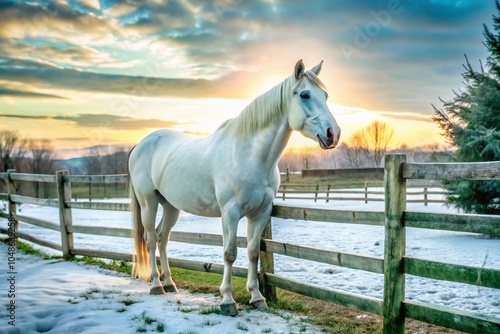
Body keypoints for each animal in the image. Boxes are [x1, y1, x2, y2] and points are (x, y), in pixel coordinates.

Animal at [127, 60, 342, 316]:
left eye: (326, 95)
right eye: (305, 94)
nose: (333, 134)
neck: (249, 155)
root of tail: (142, 143)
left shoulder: (260, 213)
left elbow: (252, 252)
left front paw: (257, 297)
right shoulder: (230, 213)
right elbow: (229, 254)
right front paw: (228, 301)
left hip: (171, 206)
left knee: (162, 239)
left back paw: (169, 283)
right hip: (148, 202)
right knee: (150, 240)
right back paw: (156, 285)